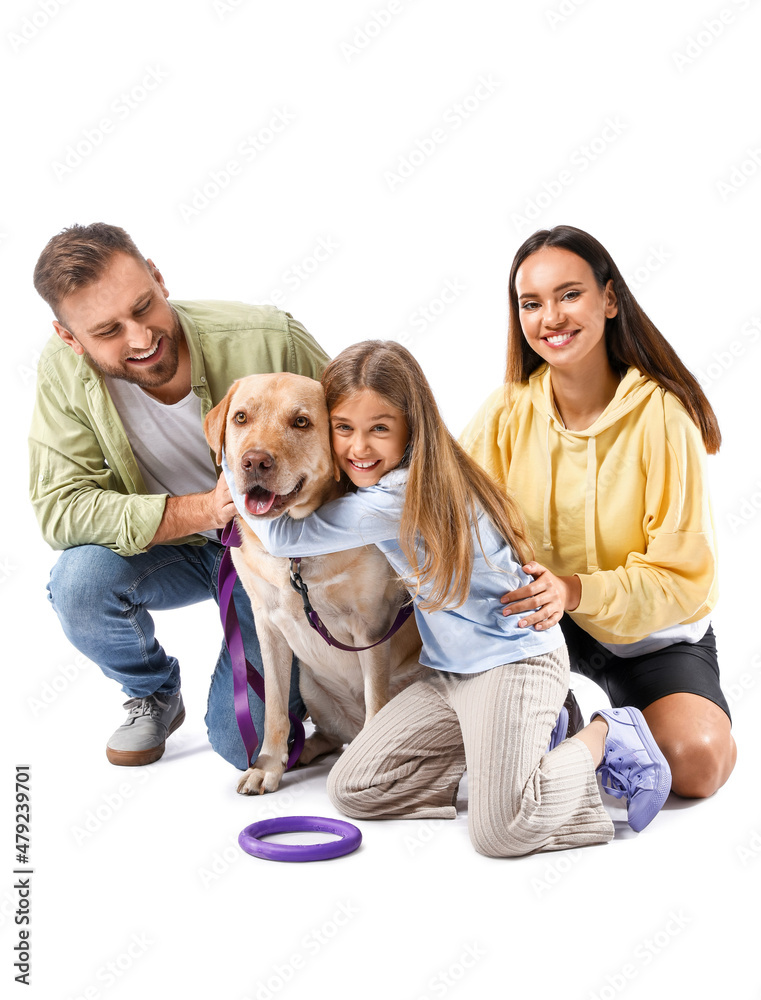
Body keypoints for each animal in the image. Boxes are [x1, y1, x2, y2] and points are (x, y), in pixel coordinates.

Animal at [205, 372, 424, 792]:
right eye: (240, 417)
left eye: (301, 422)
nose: (254, 461)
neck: (296, 547)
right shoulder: (267, 624)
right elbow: (274, 708)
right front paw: (268, 765)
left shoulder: (370, 627)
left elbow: (376, 699)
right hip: (311, 687)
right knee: (330, 734)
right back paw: (302, 751)